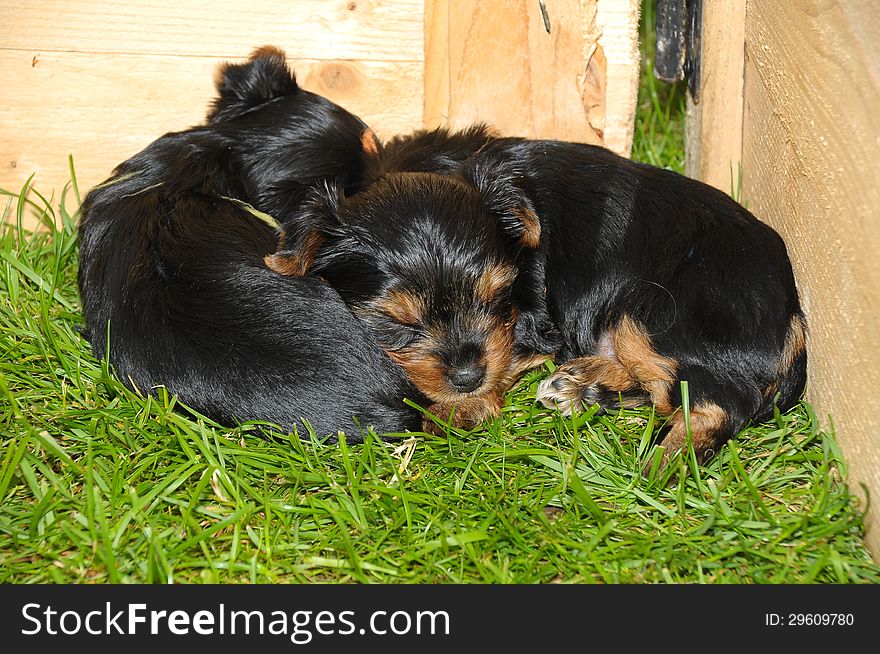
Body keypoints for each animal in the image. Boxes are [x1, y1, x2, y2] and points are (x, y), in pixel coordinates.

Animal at [272, 123, 808, 468]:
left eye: (496, 298)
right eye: (396, 324)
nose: (467, 377)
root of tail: (794, 314)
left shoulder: (530, 321)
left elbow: (498, 356)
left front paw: (462, 406)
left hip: (654, 312)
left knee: (715, 400)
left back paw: (667, 461)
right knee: (667, 389)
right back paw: (583, 387)